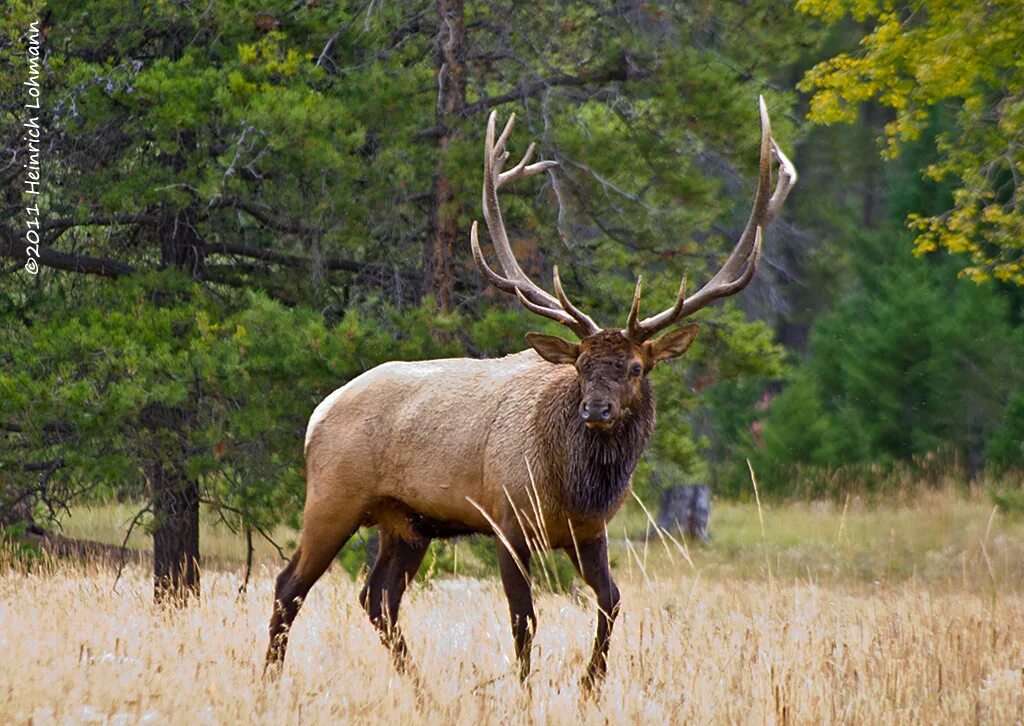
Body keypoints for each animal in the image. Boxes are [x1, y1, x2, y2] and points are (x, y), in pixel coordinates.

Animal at [264, 96, 790, 684]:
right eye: (581, 364)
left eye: (635, 367)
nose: (596, 409)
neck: (574, 485)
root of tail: (317, 415)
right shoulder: (508, 520)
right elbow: (524, 620)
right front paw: (526, 688)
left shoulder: (589, 532)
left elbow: (612, 601)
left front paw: (591, 682)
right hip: (333, 496)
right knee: (290, 587)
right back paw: (271, 680)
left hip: (407, 523)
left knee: (377, 597)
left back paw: (419, 687)